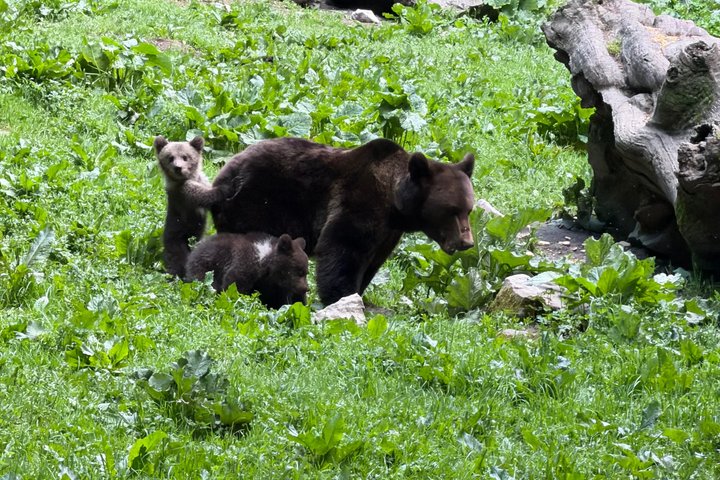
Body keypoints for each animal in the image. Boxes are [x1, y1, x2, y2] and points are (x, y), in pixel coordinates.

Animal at [154, 135, 219, 278]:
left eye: (185, 157)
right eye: (170, 157)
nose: (178, 167)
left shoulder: (202, 181)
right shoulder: (184, 194)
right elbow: (205, 197)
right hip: (178, 240)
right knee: (181, 260)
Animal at [208, 137, 475, 305]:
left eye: (468, 209)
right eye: (452, 210)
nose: (466, 241)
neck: (395, 205)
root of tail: (222, 177)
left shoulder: (387, 234)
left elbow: (370, 263)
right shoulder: (359, 202)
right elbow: (343, 250)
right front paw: (342, 297)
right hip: (258, 205)